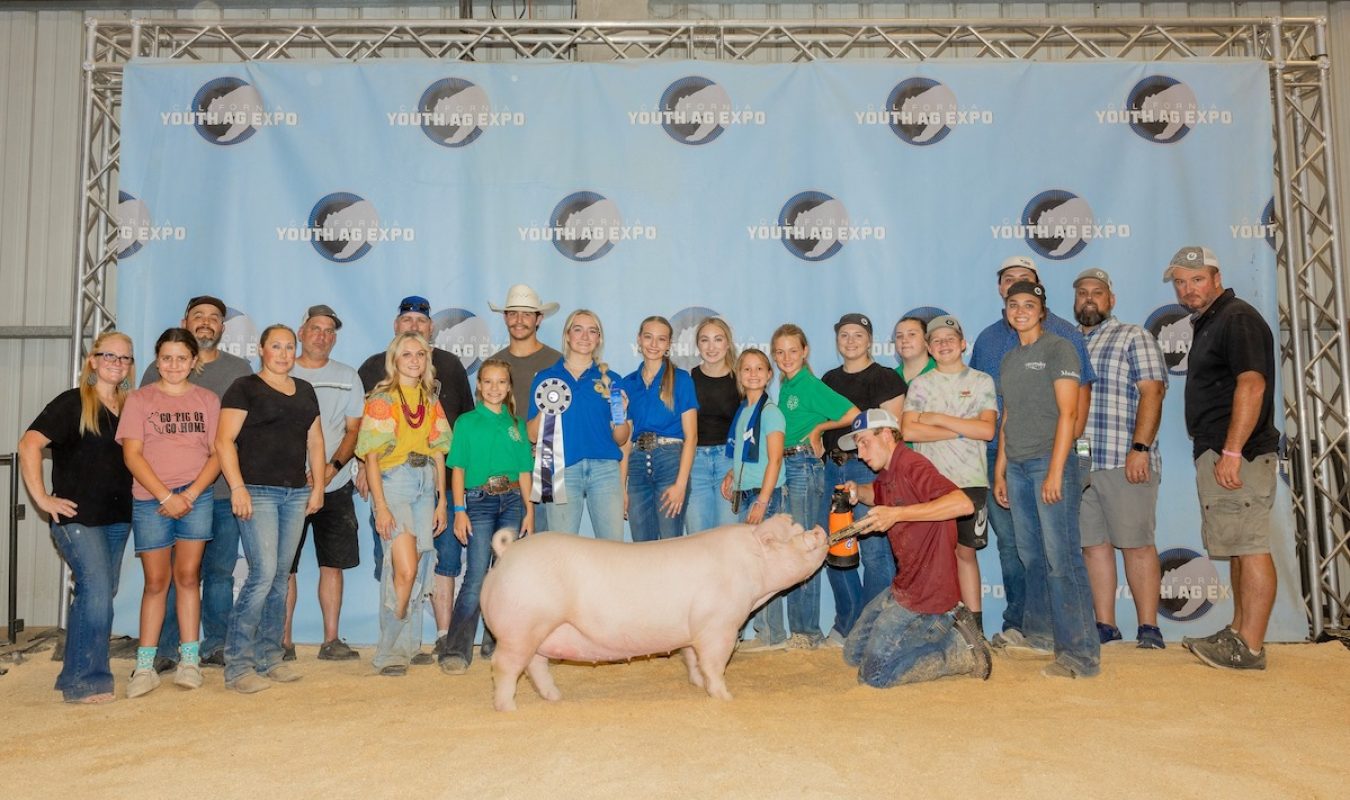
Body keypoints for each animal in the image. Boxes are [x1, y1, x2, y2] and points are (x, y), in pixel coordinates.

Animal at [480, 515, 826, 712]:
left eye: (798, 526)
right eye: (787, 537)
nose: (820, 529)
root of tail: (507, 552)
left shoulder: (693, 630)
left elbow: (692, 659)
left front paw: (697, 685)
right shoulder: (719, 624)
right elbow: (714, 663)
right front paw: (726, 697)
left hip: (538, 630)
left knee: (535, 666)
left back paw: (555, 697)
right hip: (521, 626)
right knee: (505, 666)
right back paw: (508, 708)